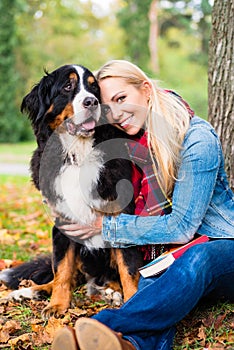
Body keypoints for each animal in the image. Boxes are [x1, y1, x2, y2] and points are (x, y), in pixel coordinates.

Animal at [0, 65, 144, 318]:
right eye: (68, 86)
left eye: (94, 88)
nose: (91, 102)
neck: (79, 154)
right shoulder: (63, 221)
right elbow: (62, 269)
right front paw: (58, 305)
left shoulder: (120, 214)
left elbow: (128, 267)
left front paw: (133, 300)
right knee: (71, 275)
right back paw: (29, 292)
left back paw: (111, 292)